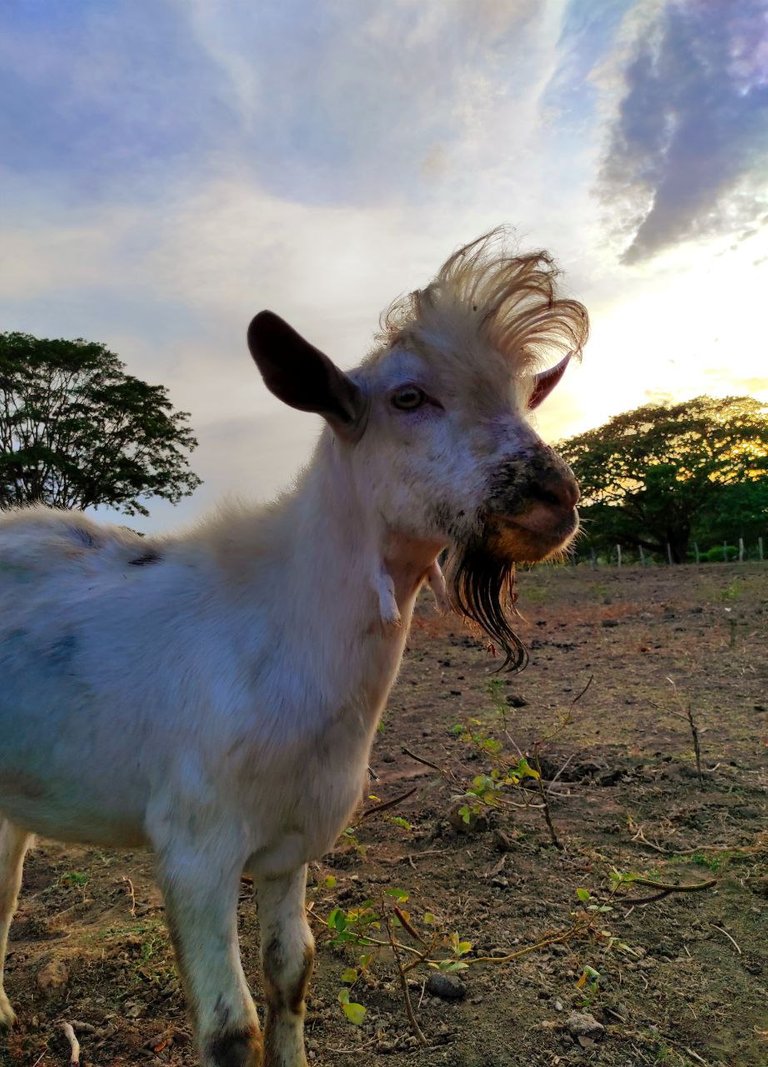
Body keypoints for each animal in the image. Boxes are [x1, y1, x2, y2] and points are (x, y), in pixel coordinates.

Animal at [0, 231, 588, 1067]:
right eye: (408, 398)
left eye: (520, 397)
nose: (554, 496)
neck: (279, 627)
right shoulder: (195, 849)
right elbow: (229, 1028)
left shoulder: (292, 843)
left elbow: (293, 970)